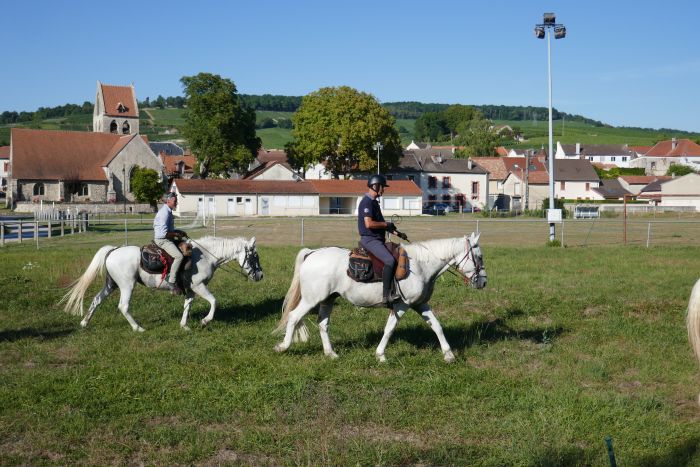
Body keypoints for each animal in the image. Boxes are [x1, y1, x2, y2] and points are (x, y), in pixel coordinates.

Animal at [58, 238, 262, 332]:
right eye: (254, 256)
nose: (260, 275)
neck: (205, 256)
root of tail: (114, 250)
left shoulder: (191, 290)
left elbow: (187, 305)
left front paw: (184, 325)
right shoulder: (199, 286)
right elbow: (214, 301)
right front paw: (205, 320)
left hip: (111, 284)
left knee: (97, 300)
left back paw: (85, 322)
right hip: (127, 285)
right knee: (123, 306)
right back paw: (138, 328)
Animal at [274, 233, 486, 362]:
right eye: (480, 257)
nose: (483, 282)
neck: (420, 265)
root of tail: (312, 253)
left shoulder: (420, 304)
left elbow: (436, 326)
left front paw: (448, 354)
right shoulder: (402, 305)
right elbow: (390, 329)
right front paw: (380, 355)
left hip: (328, 299)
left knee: (322, 324)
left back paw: (331, 353)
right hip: (311, 299)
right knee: (293, 317)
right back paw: (283, 346)